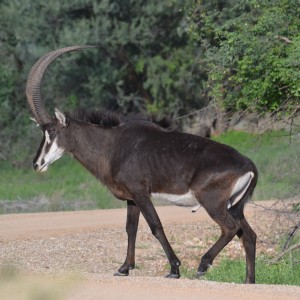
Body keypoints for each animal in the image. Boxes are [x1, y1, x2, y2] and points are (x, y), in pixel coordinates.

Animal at [26, 45, 258, 282]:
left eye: (51, 131)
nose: (37, 164)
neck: (112, 145)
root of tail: (249, 166)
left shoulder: (140, 193)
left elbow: (155, 226)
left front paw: (174, 268)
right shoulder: (131, 198)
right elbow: (131, 228)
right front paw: (124, 268)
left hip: (212, 202)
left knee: (230, 228)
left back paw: (203, 264)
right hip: (234, 206)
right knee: (248, 234)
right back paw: (249, 281)